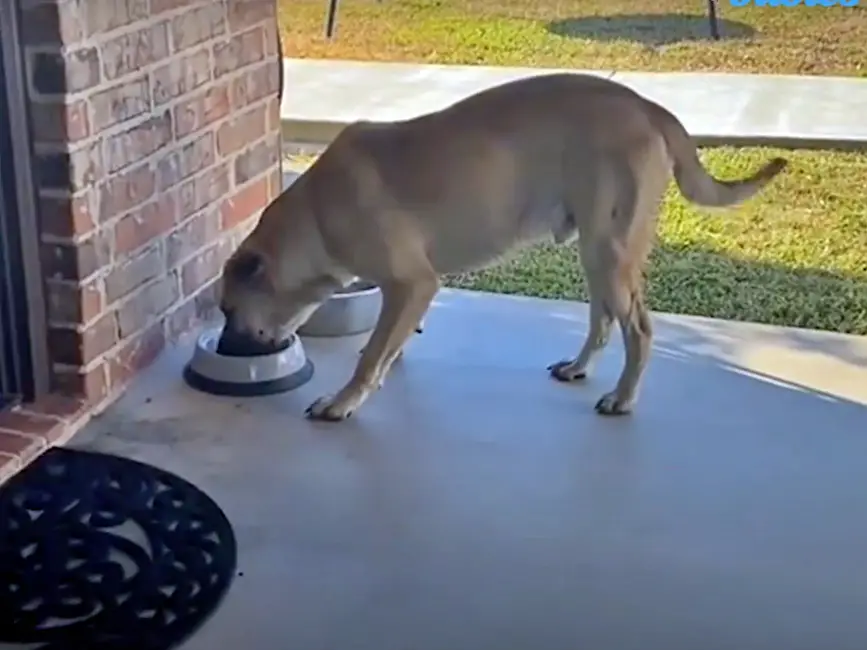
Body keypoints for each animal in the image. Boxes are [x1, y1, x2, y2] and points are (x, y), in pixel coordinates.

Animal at [217, 72, 788, 420]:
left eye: (226, 310)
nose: (223, 348)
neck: (315, 215)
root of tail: (648, 106)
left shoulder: (412, 283)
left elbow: (373, 352)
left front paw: (343, 401)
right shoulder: (406, 293)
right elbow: (387, 344)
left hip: (609, 249)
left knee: (640, 331)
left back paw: (623, 397)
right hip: (596, 253)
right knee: (603, 321)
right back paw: (579, 367)